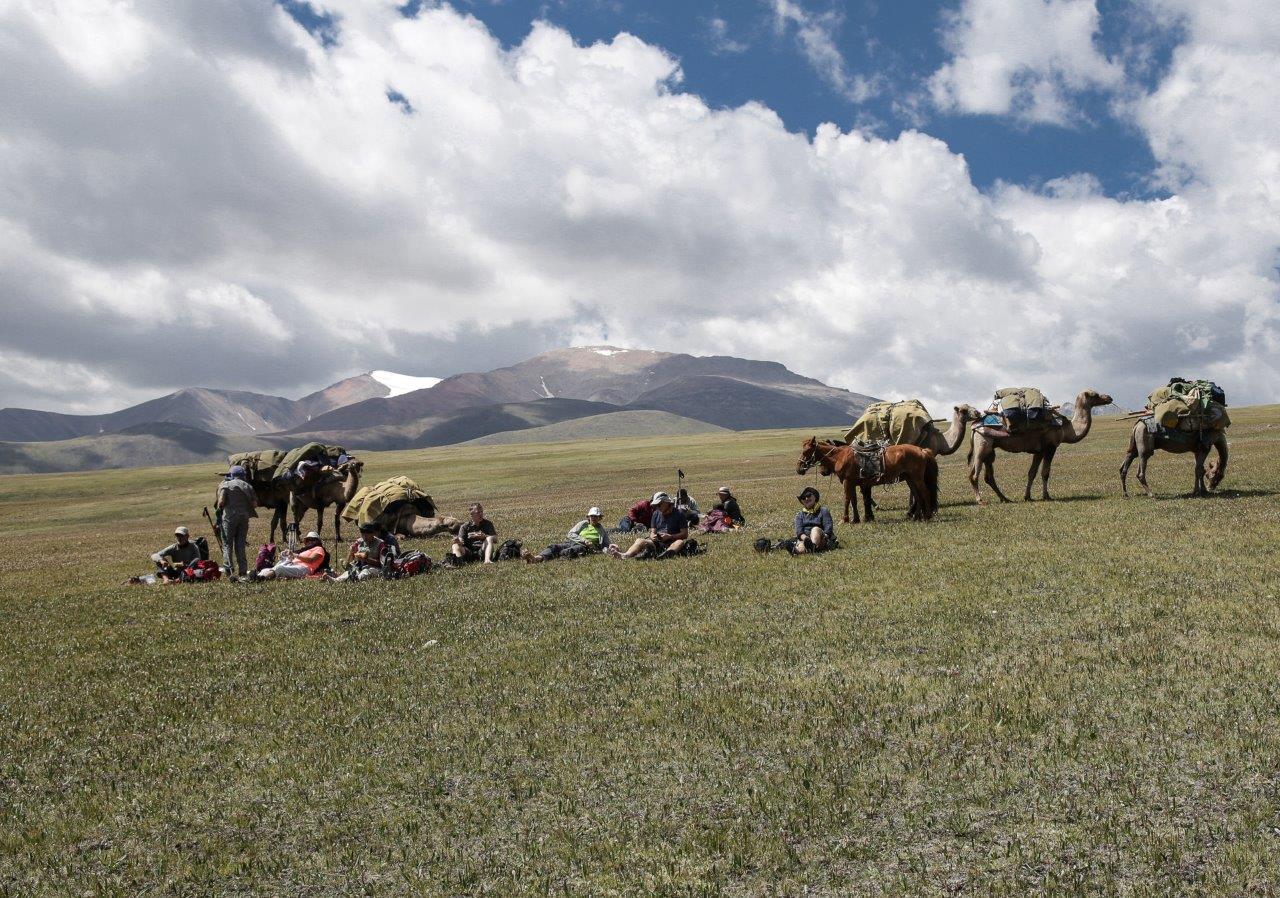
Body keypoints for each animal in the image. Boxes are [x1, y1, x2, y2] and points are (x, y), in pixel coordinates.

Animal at [788, 437, 942, 524]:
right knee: (917, 495)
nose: (799, 468)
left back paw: (927, 516)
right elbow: (854, 501)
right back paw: (916, 517)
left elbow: (847, 499)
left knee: (925, 493)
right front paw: (856, 519)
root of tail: (922, 450)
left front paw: (844, 519)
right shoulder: (854, 483)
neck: (840, 456)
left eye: (806, 451)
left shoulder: (847, 482)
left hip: (917, 478)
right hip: (910, 479)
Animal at [967, 391, 1111, 506]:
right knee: (974, 474)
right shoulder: (1050, 447)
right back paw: (981, 501)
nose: (1109, 397)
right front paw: (1046, 496)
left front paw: (1027, 496)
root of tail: (974, 426)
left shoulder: (1039, 451)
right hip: (982, 443)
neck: (1066, 429)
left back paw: (1005, 498)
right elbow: (1045, 473)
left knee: (988, 476)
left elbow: (1032, 472)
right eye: (1095, 394)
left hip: (990, 449)